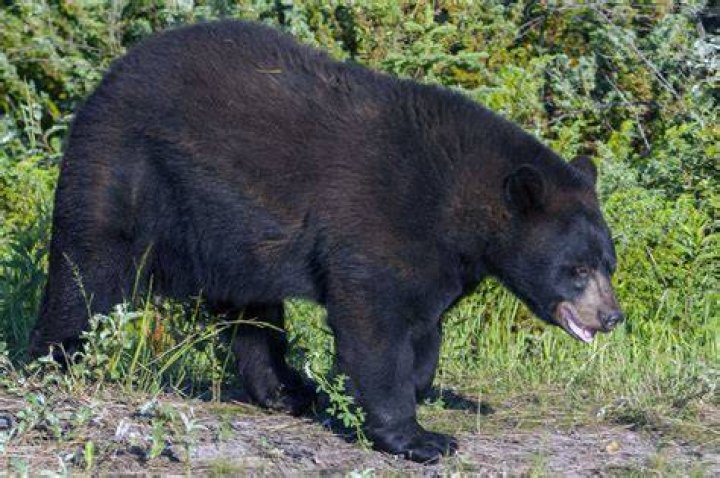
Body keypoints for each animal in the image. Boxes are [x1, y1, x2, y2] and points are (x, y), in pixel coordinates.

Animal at [30, 20, 623, 462]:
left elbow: (425, 327)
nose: (611, 316)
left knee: (252, 315)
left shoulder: (440, 257)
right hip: (124, 173)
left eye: (608, 263)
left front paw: (409, 388)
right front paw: (421, 438)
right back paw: (53, 361)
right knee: (86, 270)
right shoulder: (382, 218)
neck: (459, 200)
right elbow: (374, 322)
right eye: (577, 268)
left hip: (227, 233)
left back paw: (288, 391)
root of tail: (107, 79)